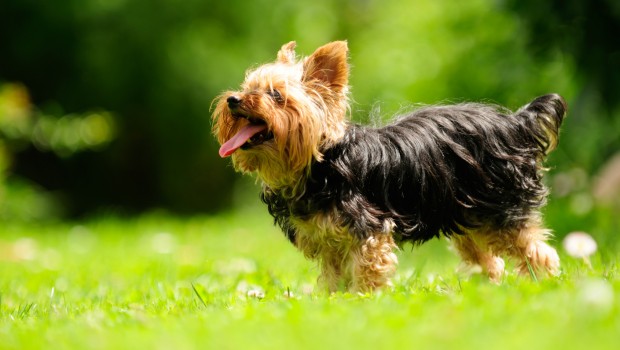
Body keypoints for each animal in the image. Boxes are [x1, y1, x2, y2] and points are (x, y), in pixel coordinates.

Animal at [213, 41, 568, 292]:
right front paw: (332, 303)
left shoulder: (369, 230)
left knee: (538, 252)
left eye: (275, 95)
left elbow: (367, 271)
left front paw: (363, 300)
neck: (318, 164)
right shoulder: (329, 243)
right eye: (247, 88)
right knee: (489, 262)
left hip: (501, 209)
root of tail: (515, 123)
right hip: (466, 216)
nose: (233, 99)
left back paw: (544, 285)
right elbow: (333, 279)